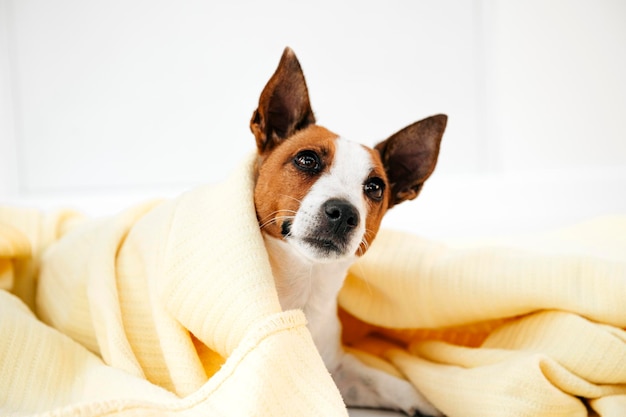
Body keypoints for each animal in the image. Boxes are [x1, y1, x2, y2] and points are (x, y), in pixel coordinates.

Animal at [249, 47, 444, 414]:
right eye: (307, 159)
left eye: (375, 187)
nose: (343, 214)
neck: (305, 291)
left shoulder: (338, 371)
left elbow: (386, 382)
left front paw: (430, 402)